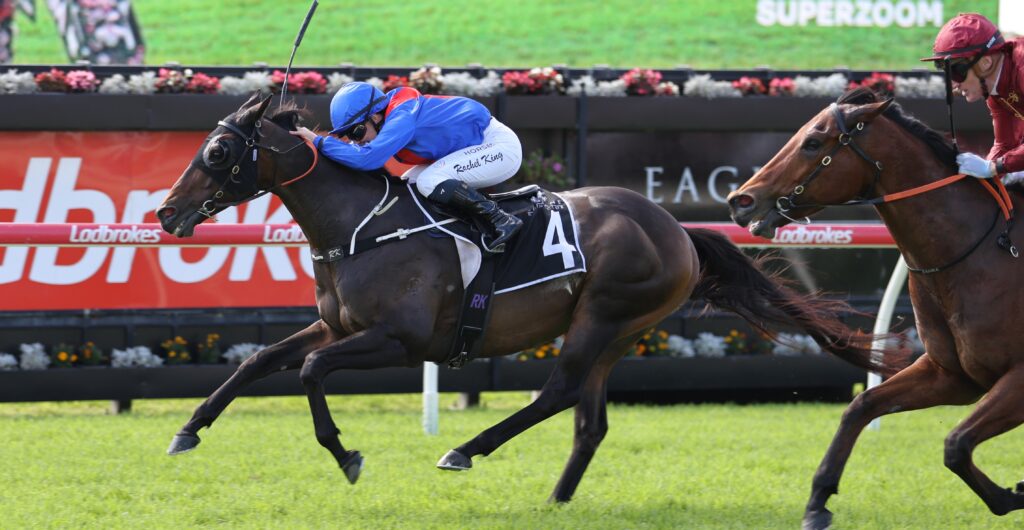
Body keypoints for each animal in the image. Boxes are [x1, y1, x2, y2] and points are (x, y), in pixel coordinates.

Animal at [155, 93, 905, 503]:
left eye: (217, 152)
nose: (166, 213)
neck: (361, 227)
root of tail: (678, 228)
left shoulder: (398, 339)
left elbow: (310, 372)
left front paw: (346, 456)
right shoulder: (334, 326)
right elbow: (259, 362)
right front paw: (188, 430)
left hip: (604, 314)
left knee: (559, 392)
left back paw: (465, 449)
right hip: (619, 330)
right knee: (588, 418)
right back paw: (557, 497)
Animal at [727, 86, 1024, 528]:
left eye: (813, 142)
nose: (740, 201)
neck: (982, 249)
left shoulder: (1018, 378)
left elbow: (956, 443)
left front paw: (1011, 495)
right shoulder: (952, 375)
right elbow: (861, 406)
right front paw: (817, 503)